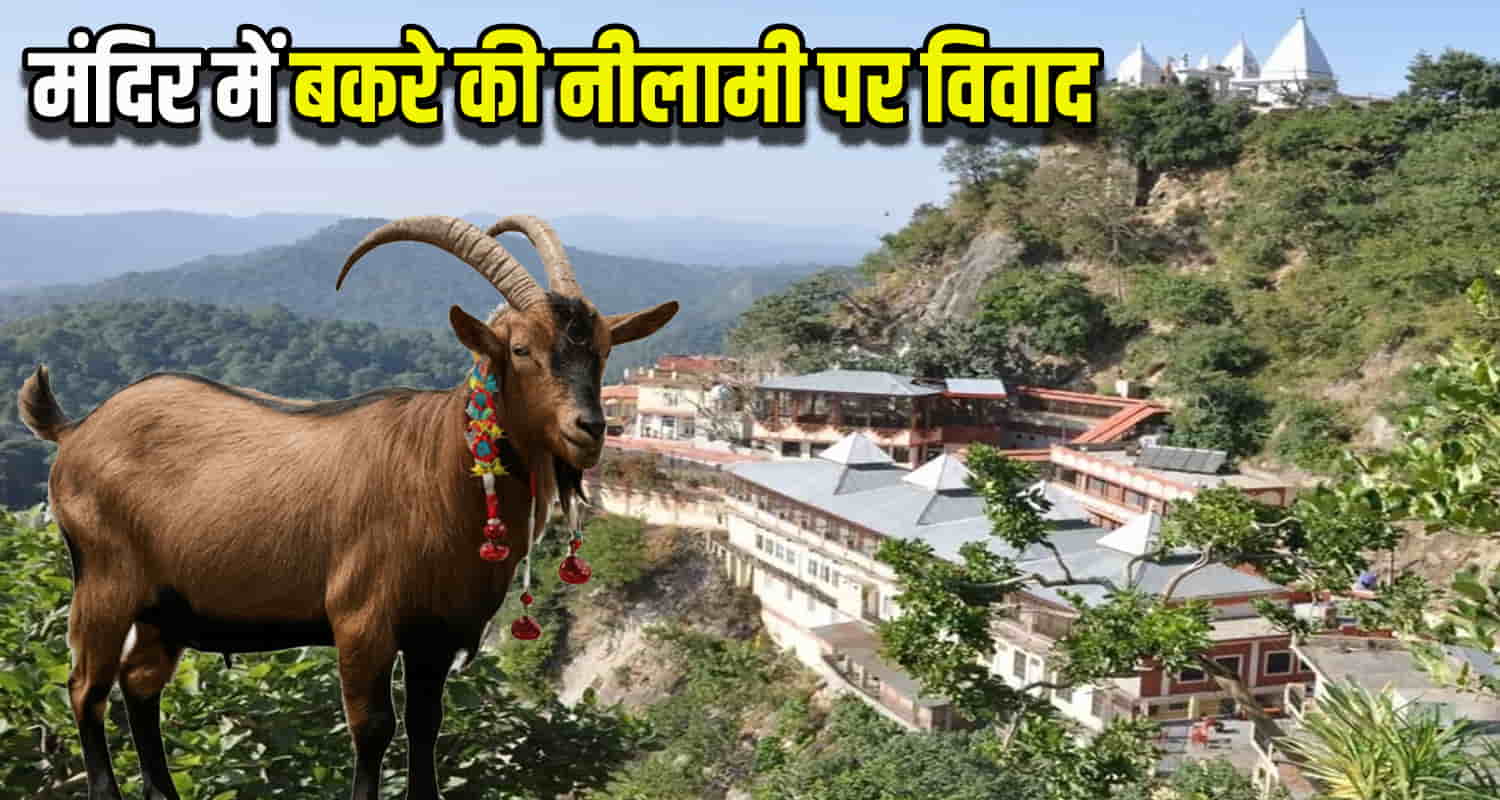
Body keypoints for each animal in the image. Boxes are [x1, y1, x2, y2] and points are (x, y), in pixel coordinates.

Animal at [16, 214, 678, 800]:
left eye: (603, 350)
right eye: (520, 349)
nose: (589, 429)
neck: (439, 474)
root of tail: (75, 430)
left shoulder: (439, 630)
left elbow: (426, 726)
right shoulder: (363, 618)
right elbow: (373, 727)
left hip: (169, 605)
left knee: (140, 683)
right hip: (104, 576)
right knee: (86, 686)